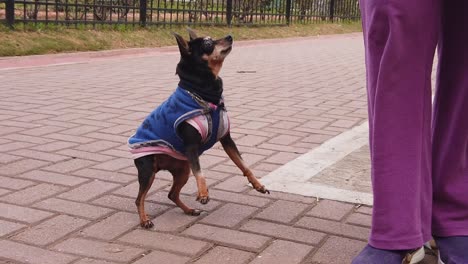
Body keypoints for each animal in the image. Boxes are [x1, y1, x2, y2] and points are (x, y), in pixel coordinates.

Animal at [128, 27, 268, 228]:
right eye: (208, 44)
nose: (229, 36)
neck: (205, 96)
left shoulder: (227, 140)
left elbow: (243, 165)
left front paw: (257, 184)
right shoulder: (191, 146)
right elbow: (200, 172)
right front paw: (203, 194)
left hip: (182, 170)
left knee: (172, 194)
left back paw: (189, 210)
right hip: (148, 171)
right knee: (139, 198)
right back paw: (145, 220)